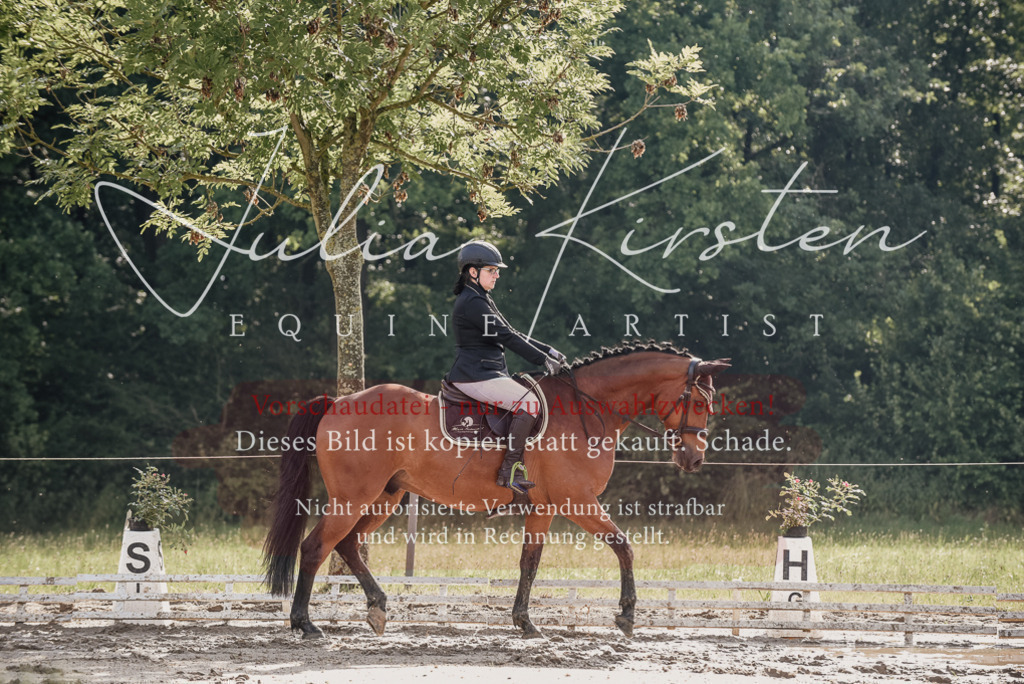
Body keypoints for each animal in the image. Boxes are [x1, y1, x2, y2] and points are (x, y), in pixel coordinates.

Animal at [263, 342, 731, 639]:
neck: (585, 408)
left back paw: (377, 608)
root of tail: (338, 402)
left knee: (347, 545)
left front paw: (525, 623)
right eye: (700, 403)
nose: (694, 459)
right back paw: (305, 624)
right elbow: (624, 546)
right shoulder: (577, 502)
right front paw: (627, 616)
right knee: (316, 547)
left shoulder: (543, 507)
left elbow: (529, 563)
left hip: (384, 496)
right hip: (354, 497)